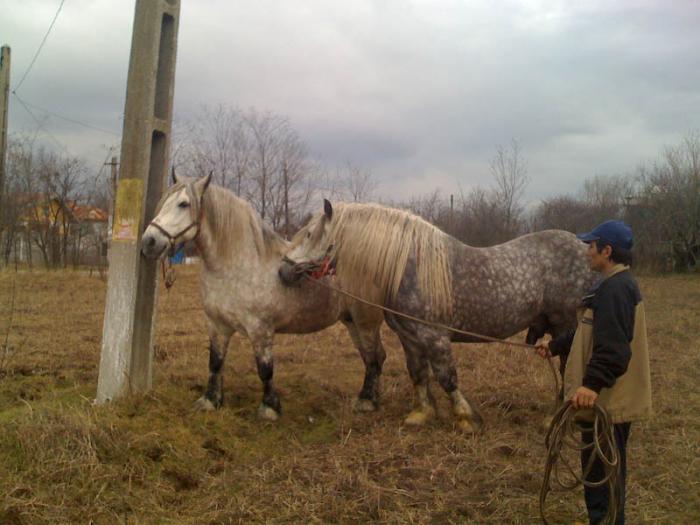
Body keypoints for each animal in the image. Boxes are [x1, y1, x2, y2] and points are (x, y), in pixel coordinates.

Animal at [140, 174, 386, 420]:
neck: (236, 266)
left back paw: (367, 401)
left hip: (366, 322)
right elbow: (215, 362)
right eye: (163, 201)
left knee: (374, 357)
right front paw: (210, 400)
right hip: (351, 321)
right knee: (373, 357)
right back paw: (371, 398)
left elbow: (265, 369)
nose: (149, 242)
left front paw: (269, 408)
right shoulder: (217, 325)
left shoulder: (260, 329)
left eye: (183, 204)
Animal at [278, 199, 596, 432]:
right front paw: (421, 414)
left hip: (566, 326)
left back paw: (555, 418)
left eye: (310, 235)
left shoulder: (435, 337)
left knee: (568, 367)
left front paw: (467, 419)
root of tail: (584, 249)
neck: (409, 268)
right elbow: (418, 373)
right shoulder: (410, 338)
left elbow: (447, 377)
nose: (282, 271)